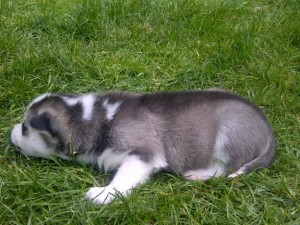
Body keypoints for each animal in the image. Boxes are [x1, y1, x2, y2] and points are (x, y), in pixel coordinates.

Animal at [10, 89, 276, 204]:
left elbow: (122, 179)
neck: (92, 119)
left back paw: (198, 175)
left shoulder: (142, 155)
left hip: (228, 134)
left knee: (224, 169)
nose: (10, 132)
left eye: (24, 128)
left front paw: (103, 194)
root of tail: (269, 132)